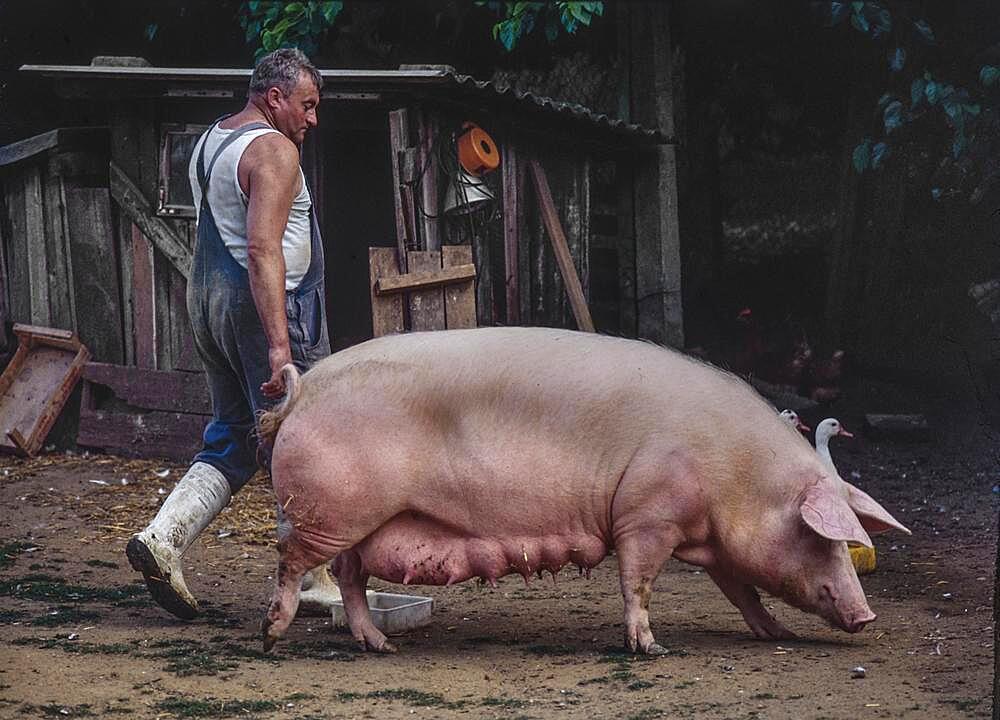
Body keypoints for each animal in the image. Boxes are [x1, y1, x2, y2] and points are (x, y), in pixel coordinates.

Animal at [256, 326, 908, 652]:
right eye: (820, 537)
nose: (867, 616)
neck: (737, 475)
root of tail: (303, 387)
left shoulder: (711, 540)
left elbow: (742, 590)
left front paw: (777, 634)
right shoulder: (648, 516)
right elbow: (637, 581)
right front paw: (649, 649)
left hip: (357, 523)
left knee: (349, 576)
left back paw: (379, 646)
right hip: (325, 512)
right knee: (290, 561)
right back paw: (271, 636)